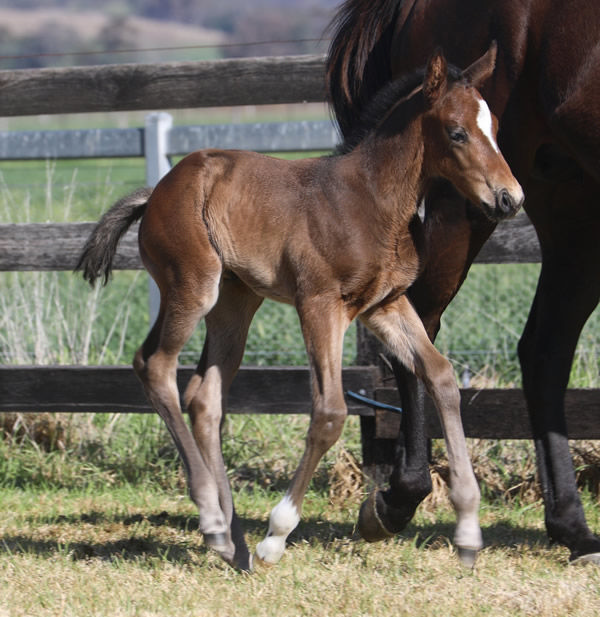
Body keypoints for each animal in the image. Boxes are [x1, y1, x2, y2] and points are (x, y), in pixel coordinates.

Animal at [78, 45, 520, 572]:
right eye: (456, 132)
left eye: (496, 127)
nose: (510, 198)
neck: (372, 201)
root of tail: (156, 192)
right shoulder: (320, 303)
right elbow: (329, 412)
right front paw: (276, 535)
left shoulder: (385, 306)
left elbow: (442, 376)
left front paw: (469, 530)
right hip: (193, 285)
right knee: (156, 365)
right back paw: (214, 520)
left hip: (235, 302)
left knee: (204, 395)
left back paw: (231, 541)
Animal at [326, 0, 600, 564]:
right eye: (457, 132)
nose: (510, 196)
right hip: (463, 208)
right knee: (421, 326)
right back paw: (399, 498)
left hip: (573, 207)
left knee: (544, 349)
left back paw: (573, 527)